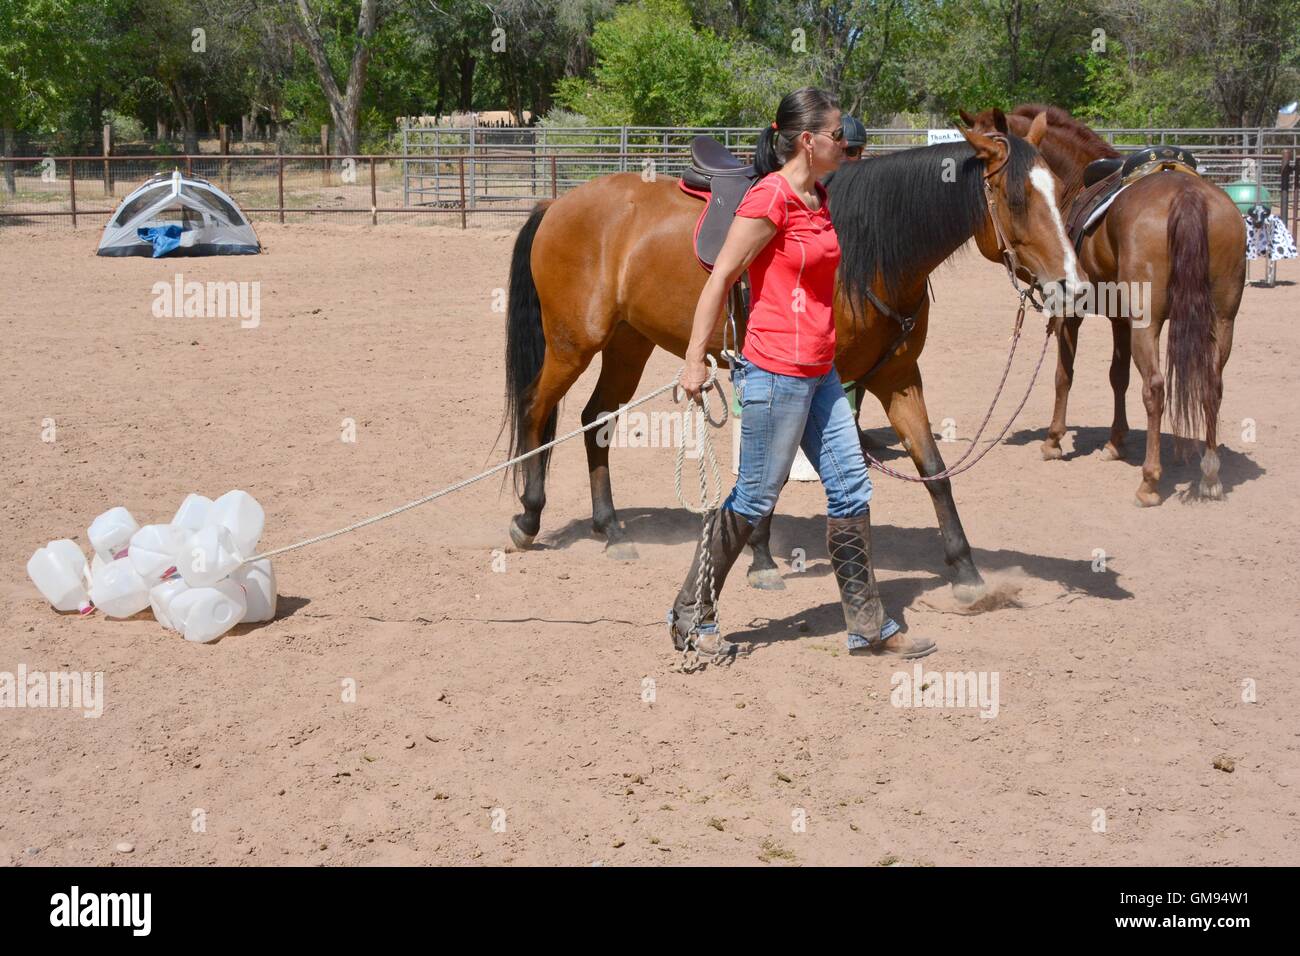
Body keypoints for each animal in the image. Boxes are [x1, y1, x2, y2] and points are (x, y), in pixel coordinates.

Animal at [501, 115, 1081, 600]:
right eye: (1017, 199)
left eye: (1062, 192)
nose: (1072, 288)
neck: (865, 255)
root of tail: (557, 205)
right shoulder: (806, 380)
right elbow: (774, 471)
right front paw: (761, 559)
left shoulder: (897, 377)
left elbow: (933, 468)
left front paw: (965, 570)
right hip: (573, 343)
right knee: (535, 409)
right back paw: (527, 519)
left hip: (627, 344)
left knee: (595, 419)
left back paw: (611, 528)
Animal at [961, 104, 1242, 504]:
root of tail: (1188, 196)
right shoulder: (1119, 318)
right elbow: (1117, 376)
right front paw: (1115, 442)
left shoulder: (1071, 312)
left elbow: (1064, 374)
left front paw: (1053, 440)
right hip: (1222, 319)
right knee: (1211, 386)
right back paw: (1210, 475)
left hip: (1148, 323)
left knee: (1155, 387)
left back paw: (1149, 480)